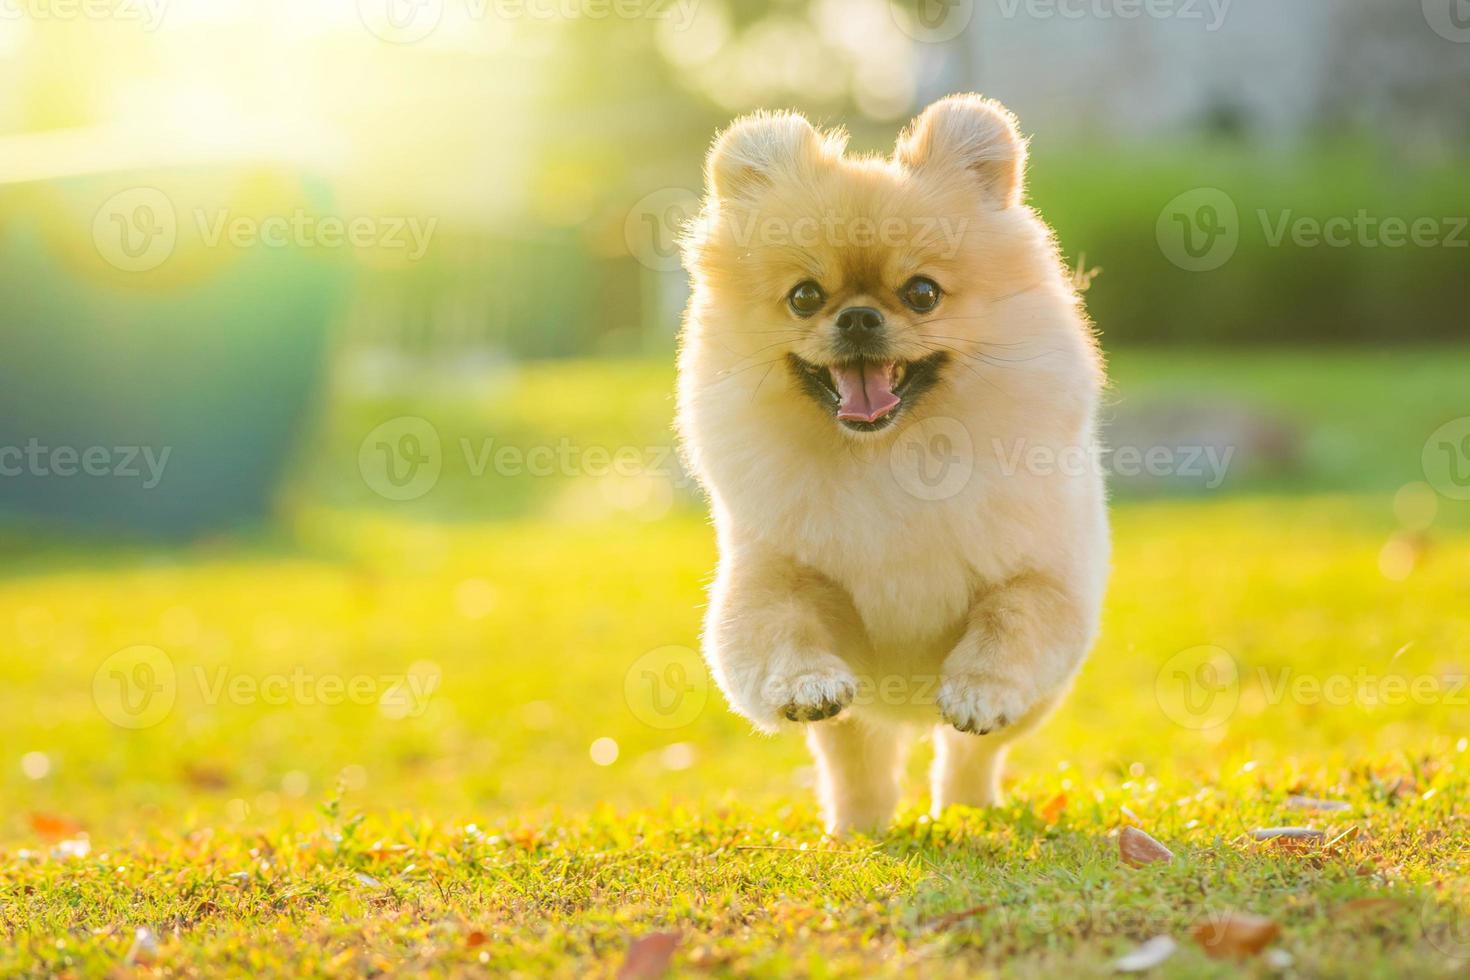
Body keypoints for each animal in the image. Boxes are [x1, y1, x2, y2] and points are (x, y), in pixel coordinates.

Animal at [673, 94, 1105, 834]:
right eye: (805, 297)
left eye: (922, 293)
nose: (857, 318)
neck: (888, 459)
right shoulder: (772, 573)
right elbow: (779, 629)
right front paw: (806, 680)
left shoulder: (1041, 576)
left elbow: (1011, 619)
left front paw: (979, 688)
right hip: (859, 721)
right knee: (857, 766)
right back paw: (858, 830)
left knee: (968, 755)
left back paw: (965, 808)